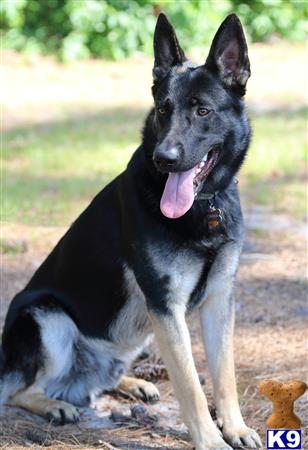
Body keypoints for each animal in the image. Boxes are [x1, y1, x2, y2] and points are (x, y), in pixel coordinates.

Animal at [1, 12, 264, 448]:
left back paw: (131, 383)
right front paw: (211, 439)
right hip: (47, 316)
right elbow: (191, 384)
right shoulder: (165, 306)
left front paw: (235, 427)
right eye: (162, 110)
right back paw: (55, 405)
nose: (164, 158)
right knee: (22, 390)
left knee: (98, 381)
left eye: (203, 111)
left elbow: (223, 375)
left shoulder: (218, 301)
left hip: (135, 339)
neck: (204, 206)